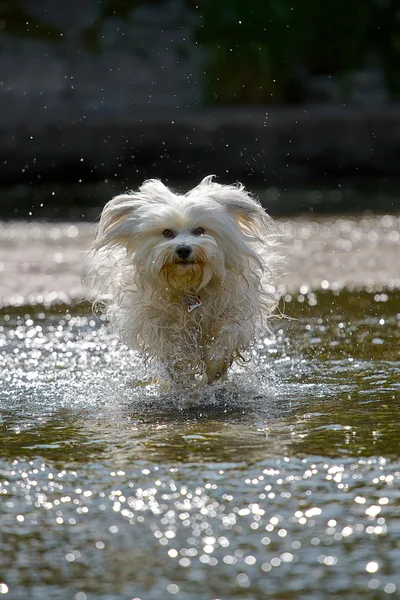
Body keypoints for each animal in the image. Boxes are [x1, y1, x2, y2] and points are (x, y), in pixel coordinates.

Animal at [83, 175, 278, 390]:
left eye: (200, 230)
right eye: (167, 233)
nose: (183, 249)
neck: (190, 286)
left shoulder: (234, 306)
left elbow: (229, 334)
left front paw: (214, 366)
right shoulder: (160, 323)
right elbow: (174, 352)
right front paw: (184, 378)